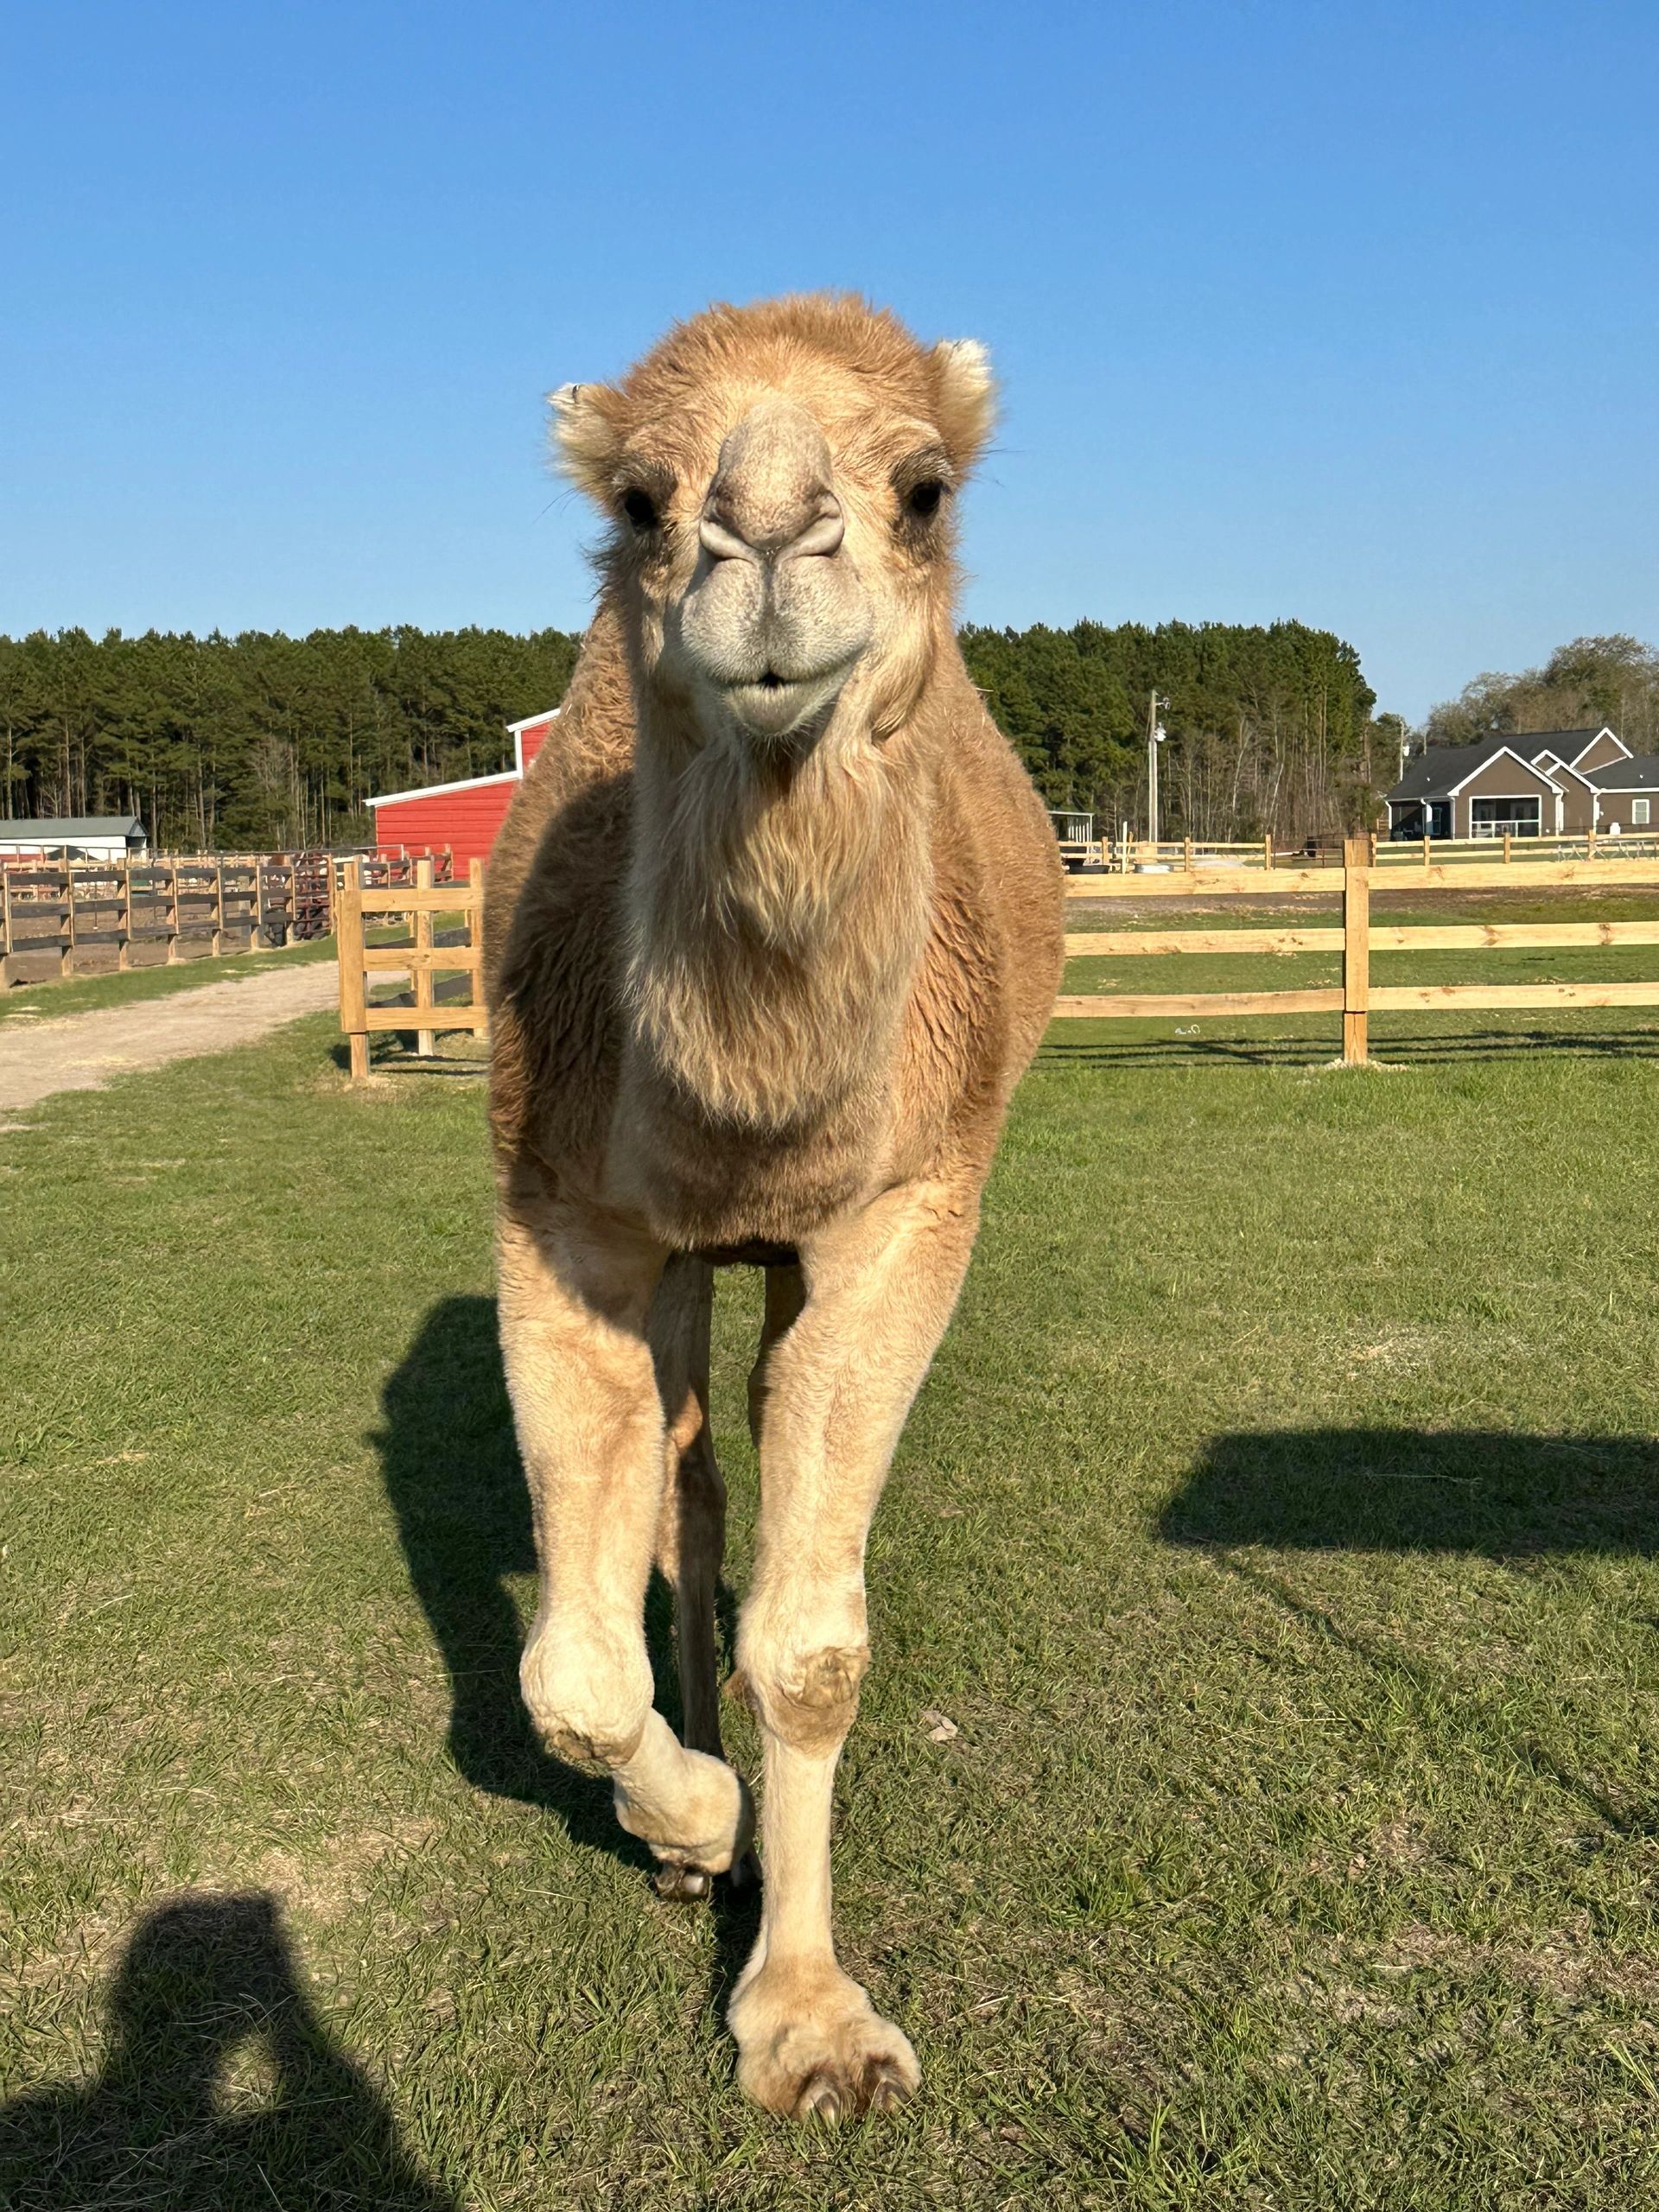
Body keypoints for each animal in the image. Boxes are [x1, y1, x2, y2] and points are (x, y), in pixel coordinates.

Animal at [482, 293, 1063, 2119]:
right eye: (642, 496)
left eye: (925, 489)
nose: (767, 541)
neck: (752, 1131)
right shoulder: (564, 1207)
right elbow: (566, 1670)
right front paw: (695, 1823)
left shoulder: (906, 1209)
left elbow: (811, 1652)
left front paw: (809, 2023)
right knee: (686, 1484)